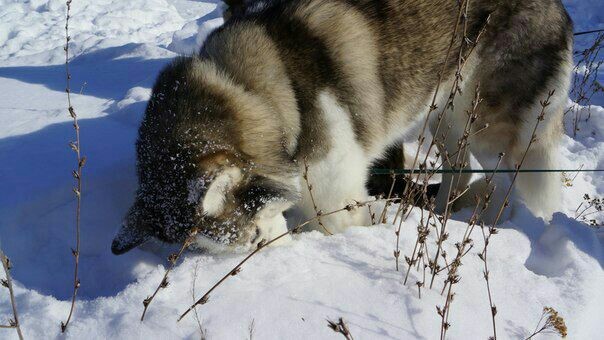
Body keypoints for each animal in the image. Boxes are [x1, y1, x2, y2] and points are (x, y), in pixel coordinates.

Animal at [112, 0, 572, 255]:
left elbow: (336, 223)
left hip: (491, 126)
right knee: (462, 169)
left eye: (253, 234)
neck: (261, 94)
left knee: (514, 176)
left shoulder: (338, 197)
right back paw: (439, 217)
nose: (268, 254)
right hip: (445, 112)